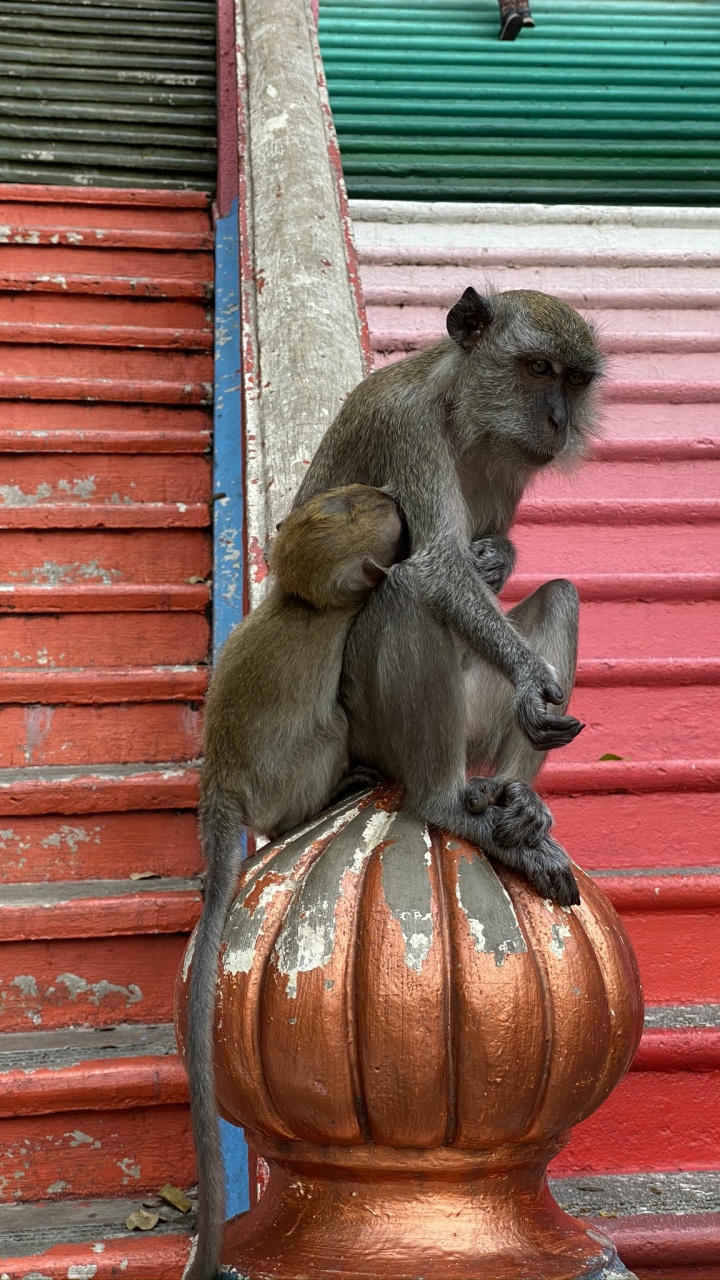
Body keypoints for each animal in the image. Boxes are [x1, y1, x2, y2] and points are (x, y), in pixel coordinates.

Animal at [186, 484, 403, 1280]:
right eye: (365, 508)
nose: (391, 496)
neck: (300, 600)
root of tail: (220, 787)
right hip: (303, 764)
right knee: (328, 734)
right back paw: (338, 787)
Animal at [294, 287, 604, 908]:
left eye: (576, 380)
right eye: (539, 368)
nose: (559, 421)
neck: (461, 412)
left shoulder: (511, 464)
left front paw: (499, 559)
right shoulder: (405, 425)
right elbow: (438, 568)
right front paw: (530, 677)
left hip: (474, 712)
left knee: (561, 597)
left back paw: (517, 797)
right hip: (370, 731)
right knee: (407, 593)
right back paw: (443, 803)